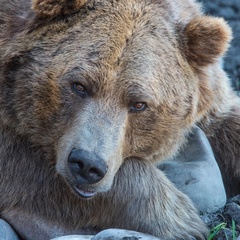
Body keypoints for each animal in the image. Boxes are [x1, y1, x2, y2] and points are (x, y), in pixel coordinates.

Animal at [0, 0, 239, 239]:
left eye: (139, 104)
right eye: (79, 85)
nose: (87, 165)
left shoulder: (208, 95)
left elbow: (225, 121)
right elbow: (23, 164)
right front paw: (181, 219)